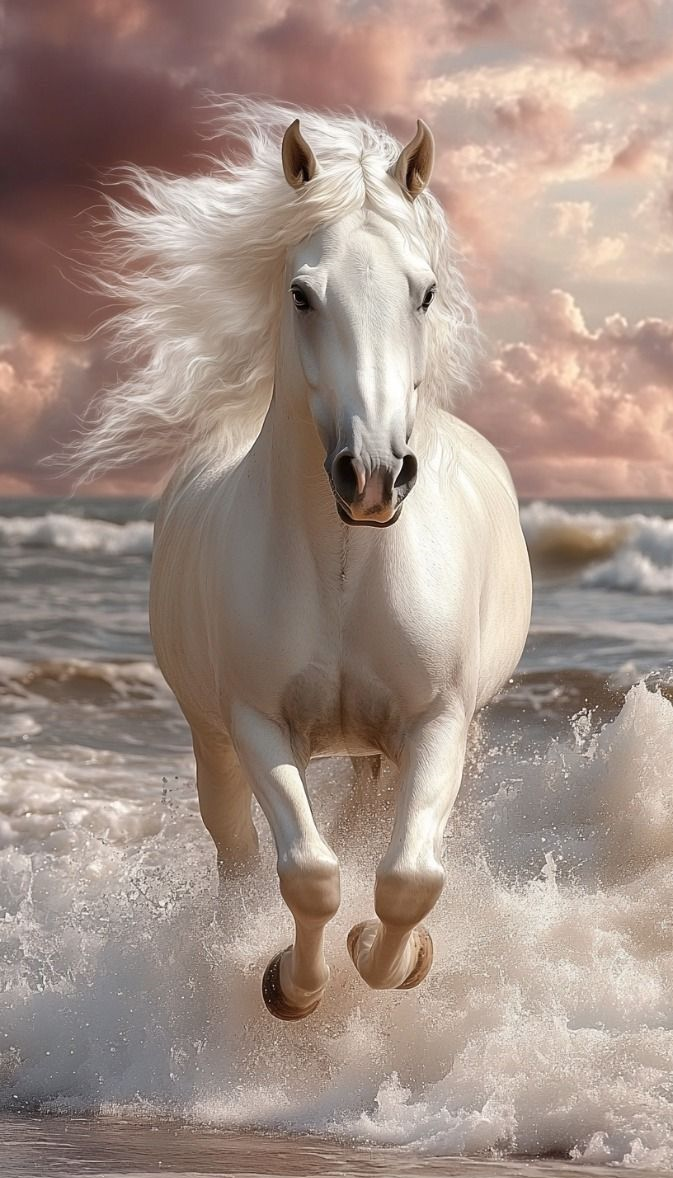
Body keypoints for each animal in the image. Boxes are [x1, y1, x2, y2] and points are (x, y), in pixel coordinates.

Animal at [76, 100, 532, 1021]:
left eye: (424, 292)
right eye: (301, 293)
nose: (374, 475)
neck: (346, 568)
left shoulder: (437, 722)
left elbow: (408, 877)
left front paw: (393, 959)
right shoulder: (256, 722)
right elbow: (310, 874)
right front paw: (293, 983)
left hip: (381, 748)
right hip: (212, 738)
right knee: (236, 853)